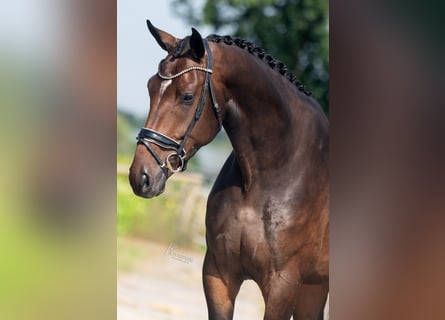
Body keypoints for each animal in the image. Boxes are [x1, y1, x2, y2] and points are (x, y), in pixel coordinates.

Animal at [128, 20, 330, 320]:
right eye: (151, 87)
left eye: (187, 96)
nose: (141, 176)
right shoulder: (218, 273)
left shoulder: (283, 284)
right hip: (314, 286)